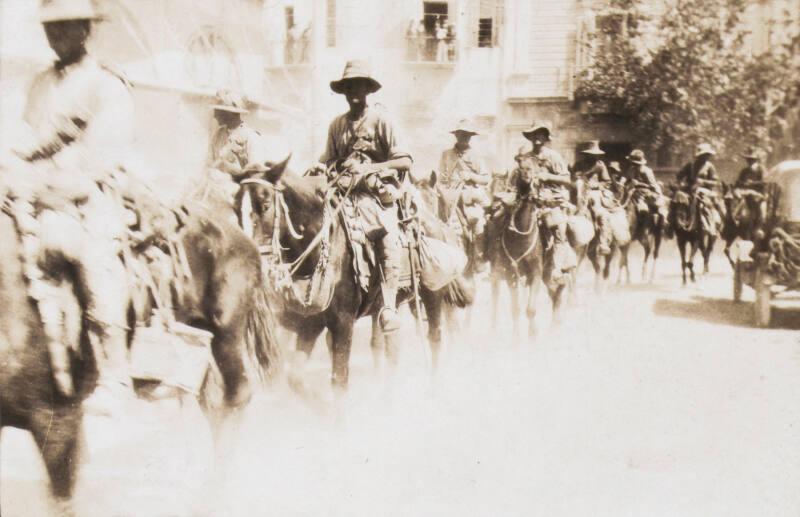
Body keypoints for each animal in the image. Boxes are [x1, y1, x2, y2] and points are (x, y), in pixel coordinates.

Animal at [241, 165, 472, 388]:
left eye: (265, 205)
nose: (256, 259)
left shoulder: (343, 321)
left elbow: (340, 378)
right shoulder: (312, 323)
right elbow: (297, 376)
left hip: (432, 295)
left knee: (435, 337)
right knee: (391, 347)